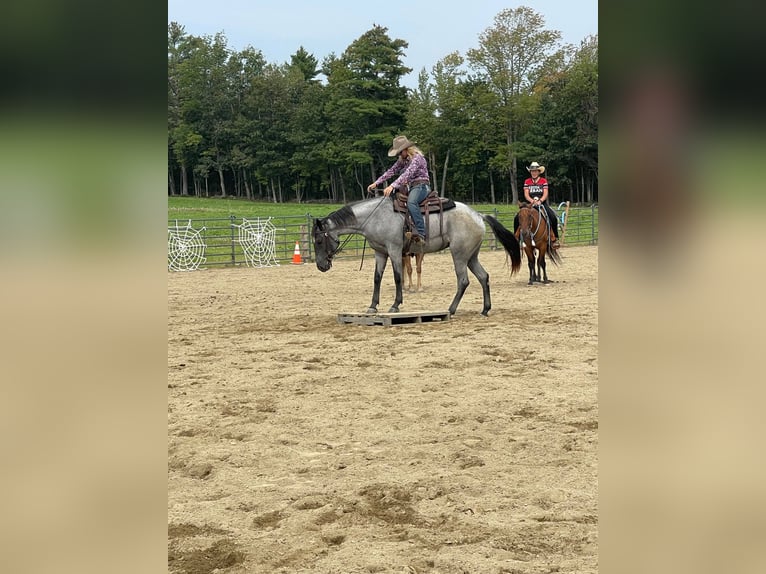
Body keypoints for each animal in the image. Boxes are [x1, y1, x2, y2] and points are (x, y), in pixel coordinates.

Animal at [312, 197, 520, 316]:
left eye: (319, 241)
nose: (321, 266)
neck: (375, 217)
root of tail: (478, 215)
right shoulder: (380, 253)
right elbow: (377, 278)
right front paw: (372, 306)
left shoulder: (395, 251)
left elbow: (397, 277)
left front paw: (395, 305)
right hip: (471, 256)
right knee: (483, 277)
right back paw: (485, 309)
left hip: (459, 255)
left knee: (463, 281)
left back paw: (450, 309)